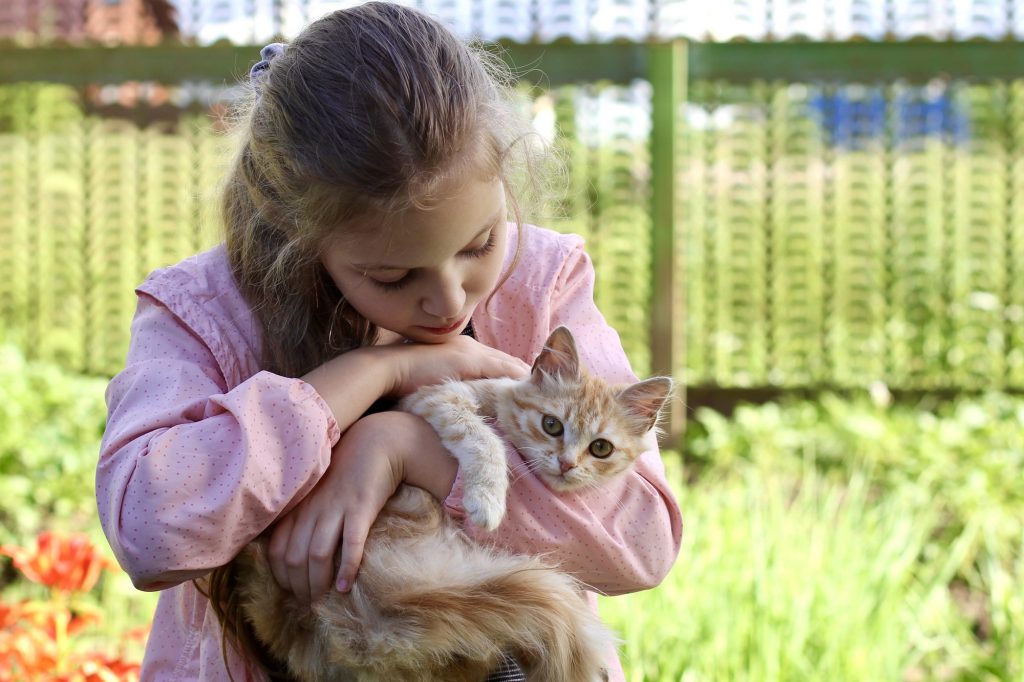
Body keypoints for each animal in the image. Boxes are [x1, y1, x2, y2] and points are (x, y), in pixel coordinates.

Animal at [234, 327, 675, 675]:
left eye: (600, 448)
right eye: (552, 425)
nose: (566, 464)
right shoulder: (437, 397)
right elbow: (483, 436)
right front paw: (488, 499)